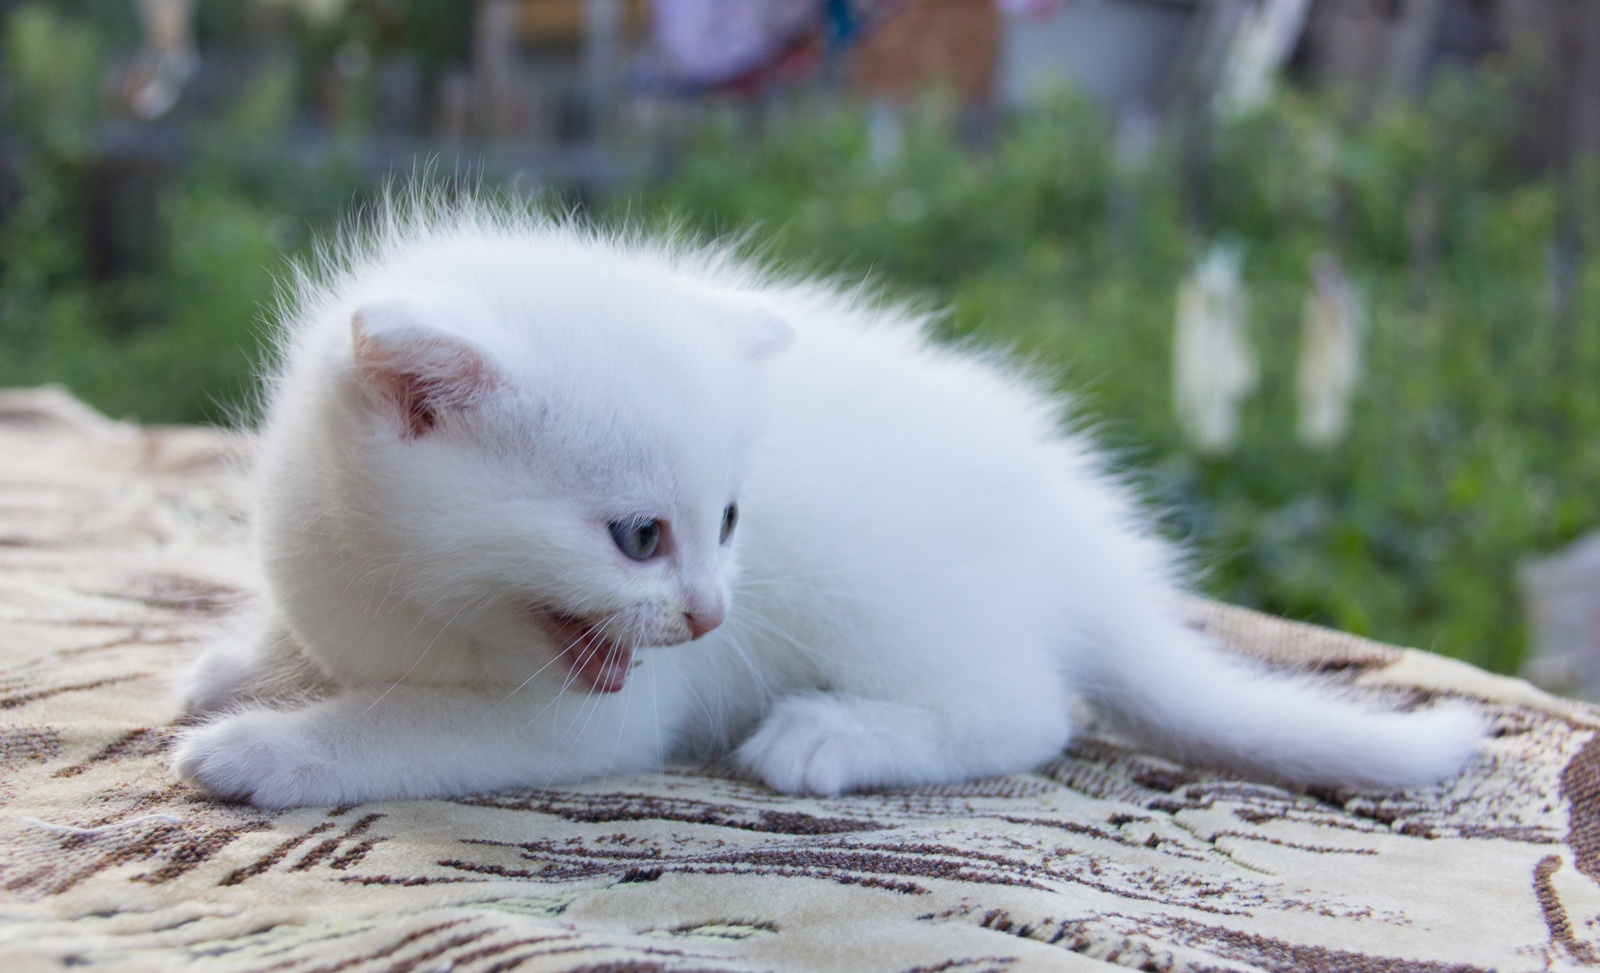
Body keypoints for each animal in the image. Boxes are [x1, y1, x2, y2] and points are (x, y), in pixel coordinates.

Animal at [168, 197, 1478, 806]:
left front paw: (274, 746)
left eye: (727, 523)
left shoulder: (594, 722)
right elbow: (299, 639)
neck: (407, 602)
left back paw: (833, 735)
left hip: (891, 595)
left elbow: (405, 723)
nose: (707, 614)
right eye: (640, 537)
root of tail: (1082, 546)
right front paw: (240, 663)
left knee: (1028, 710)